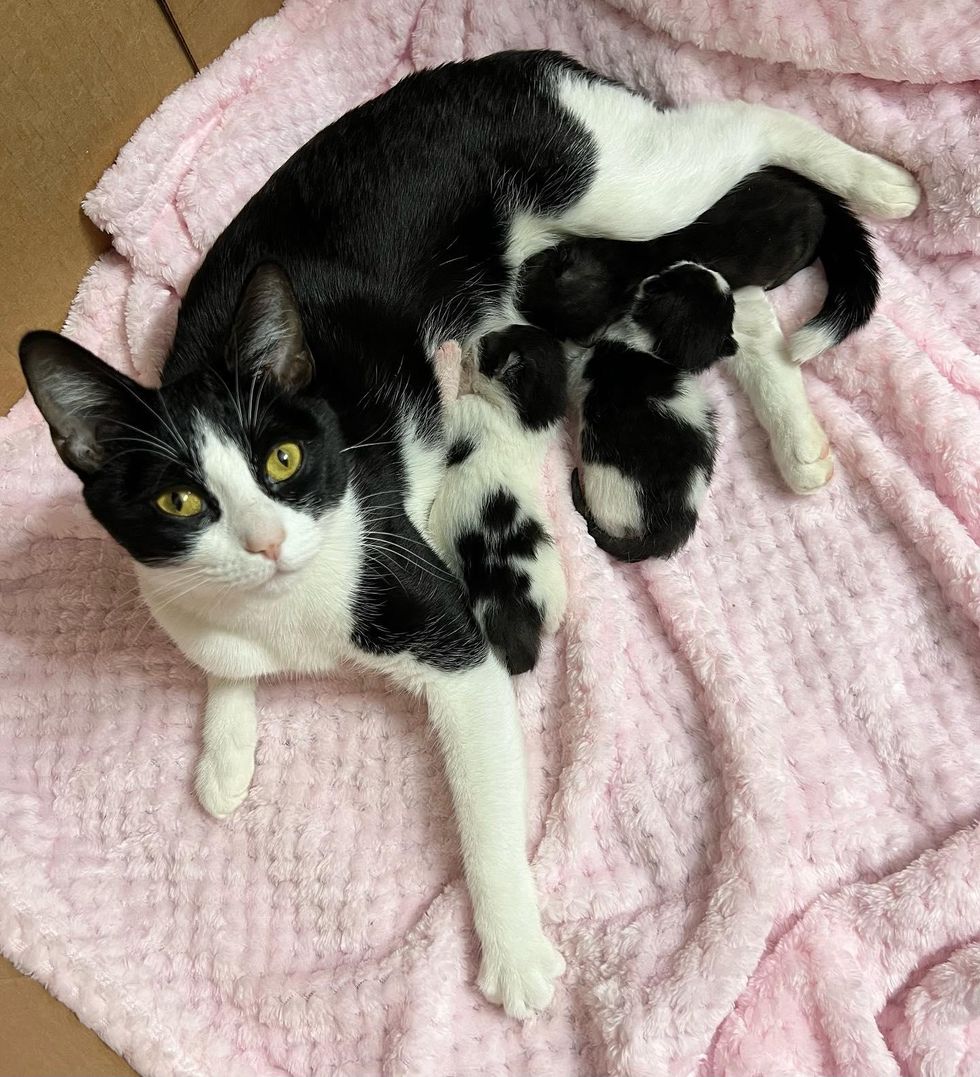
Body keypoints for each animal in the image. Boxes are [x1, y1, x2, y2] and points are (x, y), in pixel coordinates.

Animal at [428, 323, 568, 672]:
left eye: (489, 345)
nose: (477, 338)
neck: (528, 423)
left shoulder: (465, 414)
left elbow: (448, 399)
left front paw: (449, 356)